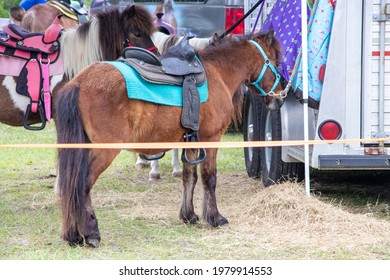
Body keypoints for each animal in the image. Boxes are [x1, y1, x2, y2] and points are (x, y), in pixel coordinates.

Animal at [54, 29, 284, 246]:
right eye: (276, 62)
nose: (280, 98)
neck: (217, 73)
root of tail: (79, 82)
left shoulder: (191, 143)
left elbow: (189, 177)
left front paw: (189, 215)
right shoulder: (211, 139)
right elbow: (209, 178)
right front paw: (215, 217)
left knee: (70, 184)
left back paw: (72, 234)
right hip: (105, 151)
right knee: (82, 184)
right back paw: (91, 233)